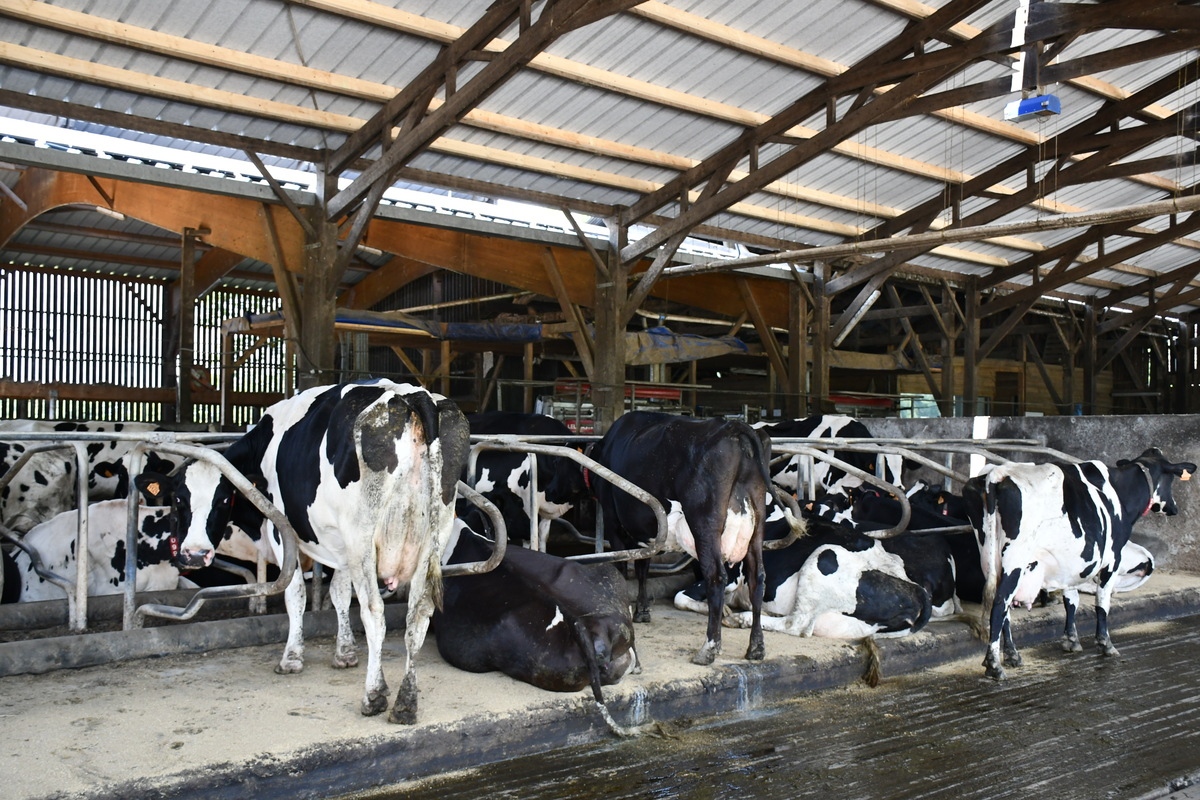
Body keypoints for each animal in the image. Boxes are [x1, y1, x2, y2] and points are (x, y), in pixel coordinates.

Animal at [142, 379, 470, 724]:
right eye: (179, 498)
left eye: (223, 499)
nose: (194, 554)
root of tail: (413, 395)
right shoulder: (338, 543)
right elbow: (339, 593)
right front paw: (344, 652)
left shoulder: (283, 529)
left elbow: (295, 592)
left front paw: (292, 657)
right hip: (433, 532)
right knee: (418, 615)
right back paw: (406, 703)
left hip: (363, 537)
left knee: (374, 613)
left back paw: (374, 695)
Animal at [458, 412, 585, 551]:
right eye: (556, 461)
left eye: (576, 460)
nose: (576, 486)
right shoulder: (525, 502)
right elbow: (530, 536)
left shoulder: (546, 508)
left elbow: (543, 535)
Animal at [960, 448, 1195, 681]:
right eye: (1171, 479)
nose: (1174, 508)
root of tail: (997, 474)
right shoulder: (1112, 557)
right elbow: (1102, 601)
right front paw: (1105, 644)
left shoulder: (1072, 562)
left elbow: (1071, 599)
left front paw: (1071, 640)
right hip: (1014, 559)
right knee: (1000, 603)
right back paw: (995, 665)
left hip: (990, 557)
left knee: (1003, 606)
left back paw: (1013, 656)